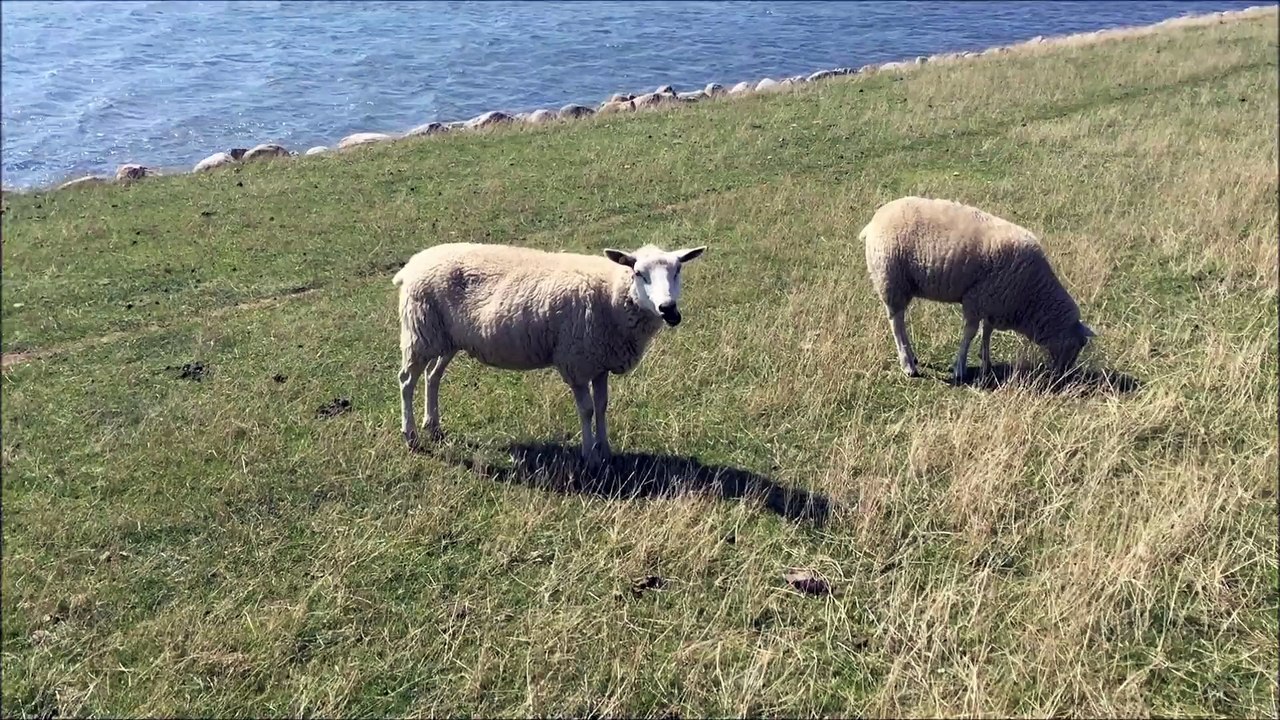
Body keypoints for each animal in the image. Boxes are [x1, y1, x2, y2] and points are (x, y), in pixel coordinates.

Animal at [393, 242, 707, 466]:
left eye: (677, 270)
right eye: (639, 273)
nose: (668, 309)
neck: (611, 295)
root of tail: (412, 264)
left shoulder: (599, 362)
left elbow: (602, 406)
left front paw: (605, 449)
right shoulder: (576, 361)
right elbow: (587, 409)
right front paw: (590, 456)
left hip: (444, 339)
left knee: (432, 377)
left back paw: (433, 427)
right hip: (420, 332)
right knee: (407, 380)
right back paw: (411, 436)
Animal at [860, 196, 1095, 383]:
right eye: (1077, 346)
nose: (1063, 375)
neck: (1032, 294)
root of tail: (874, 220)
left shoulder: (992, 301)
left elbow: (987, 332)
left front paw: (986, 361)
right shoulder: (975, 300)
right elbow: (970, 334)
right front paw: (960, 368)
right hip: (891, 280)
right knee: (896, 323)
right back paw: (908, 363)